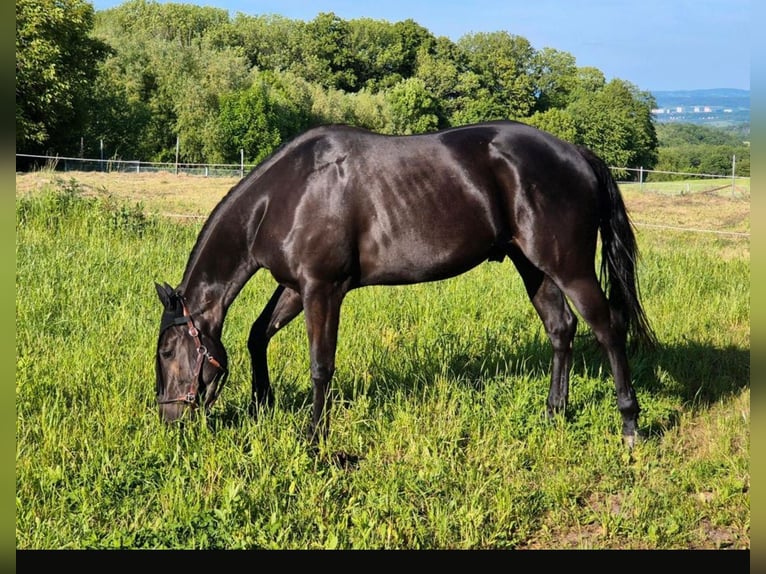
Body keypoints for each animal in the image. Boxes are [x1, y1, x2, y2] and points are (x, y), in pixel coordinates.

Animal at [154, 120, 655, 448]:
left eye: (166, 351)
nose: (167, 417)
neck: (287, 195)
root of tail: (578, 154)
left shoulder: (322, 288)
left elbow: (321, 365)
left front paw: (314, 436)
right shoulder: (297, 286)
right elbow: (258, 335)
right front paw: (262, 403)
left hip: (569, 267)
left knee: (607, 327)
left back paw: (630, 424)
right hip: (533, 266)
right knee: (561, 329)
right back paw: (554, 412)